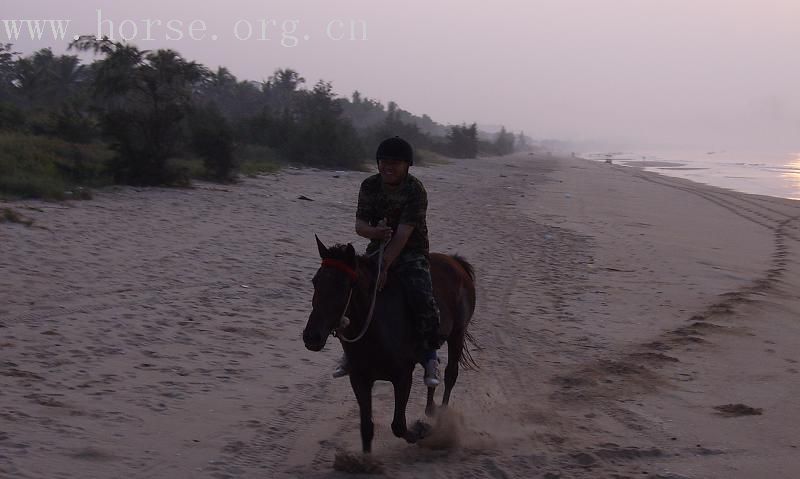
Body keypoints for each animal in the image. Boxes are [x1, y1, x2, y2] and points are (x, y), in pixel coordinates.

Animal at [302, 238, 476, 456]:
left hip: (457, 334)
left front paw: (423, 430)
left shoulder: (402, 377)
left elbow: (399, 425)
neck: (375, 325)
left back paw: (441, 419)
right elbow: (366, 428)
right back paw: (431, 406)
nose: (312, 336)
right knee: (433, 367)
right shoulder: (359, 378)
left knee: (451, 373)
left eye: (344, 285)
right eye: (315, 281)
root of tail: (455, 262)